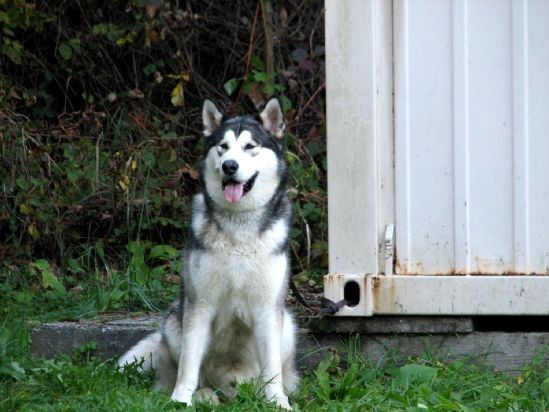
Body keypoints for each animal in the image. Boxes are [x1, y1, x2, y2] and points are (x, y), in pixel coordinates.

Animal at [119, 97, 298, 408]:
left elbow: (273, 369)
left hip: (287, 325)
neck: (239, 225)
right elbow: (189, 363)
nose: (229, 166)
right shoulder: (199, 304)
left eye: (250, 146)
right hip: (174, 322)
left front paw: (278, 402)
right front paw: (181, 399)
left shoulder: (268, 307)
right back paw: (204, 395)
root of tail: (230, 387)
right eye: (222, 146)